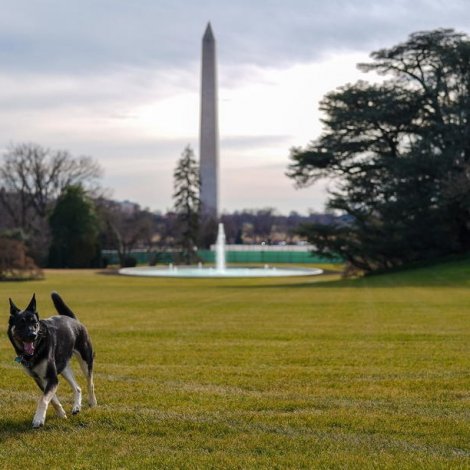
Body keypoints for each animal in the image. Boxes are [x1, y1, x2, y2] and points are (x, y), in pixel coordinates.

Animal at [7, 292, 97, 428]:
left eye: (35, 323)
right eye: (21, 323)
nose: (33, 335)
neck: (37, 348)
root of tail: (74, 320)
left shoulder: (52, 378)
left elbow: (43, 399)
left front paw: (38, 419)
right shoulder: (40, 379)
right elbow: (52, 399)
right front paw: (61, 414)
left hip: (85, 360)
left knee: (89, 383)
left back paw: (92, 402)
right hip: (63, 367)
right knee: (77, 387)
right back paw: (76, 407)